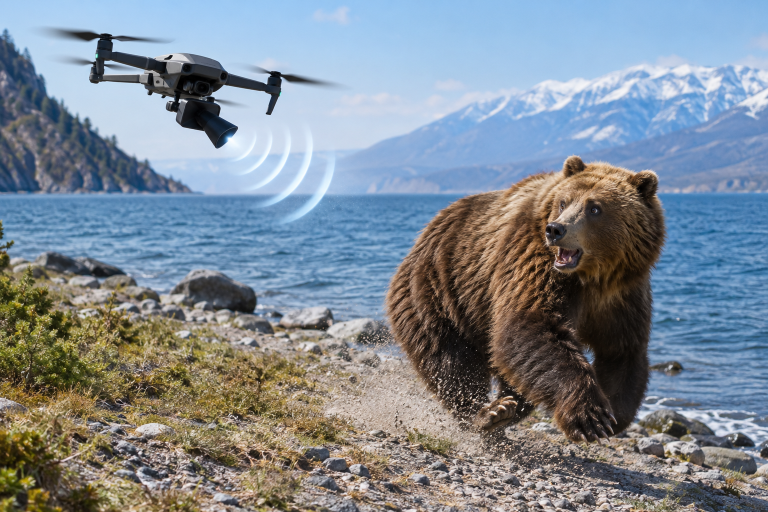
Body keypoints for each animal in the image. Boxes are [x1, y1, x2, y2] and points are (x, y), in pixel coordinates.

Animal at [385, 156, 665, 442]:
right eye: (563, 201)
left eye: (595, 208)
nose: (555, 229)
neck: (592, 277)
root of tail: (425, 234)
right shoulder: (532, 260)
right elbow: (529, 324)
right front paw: (589, 416)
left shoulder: (623, 296)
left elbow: (621, 351)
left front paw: (614, 414)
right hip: (438, 290)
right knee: (449, 359)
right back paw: (488, 413)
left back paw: (508, 408)